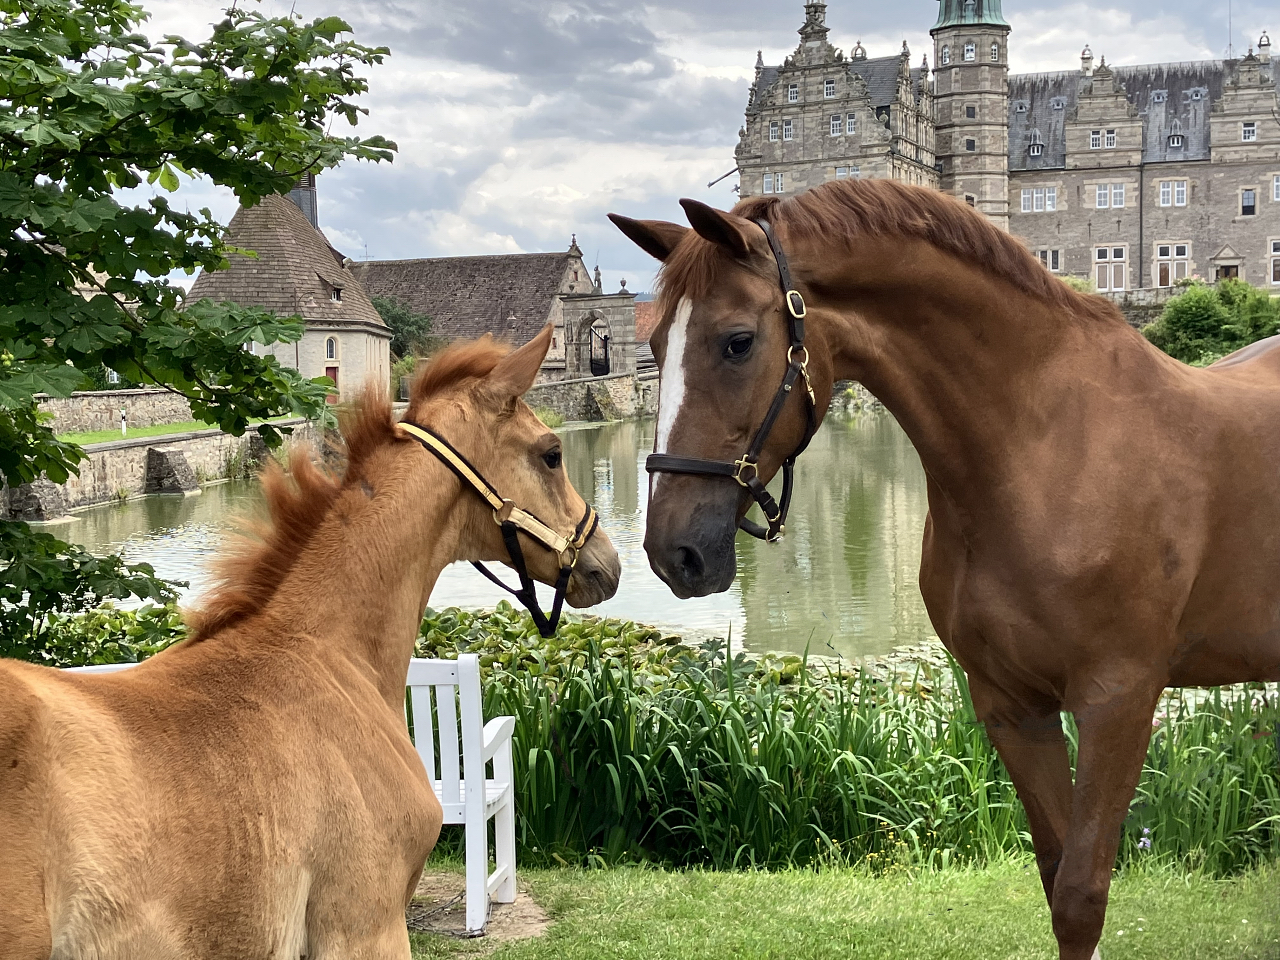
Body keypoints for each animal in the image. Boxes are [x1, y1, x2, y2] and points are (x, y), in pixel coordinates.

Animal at [609, 181, 1280, 960]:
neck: (1049, 448)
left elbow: (1082, 895)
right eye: (655, 346)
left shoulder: (1119, 703)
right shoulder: (1011, 706)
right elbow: (1056, 882)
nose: (673, 552)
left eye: (737, 341)